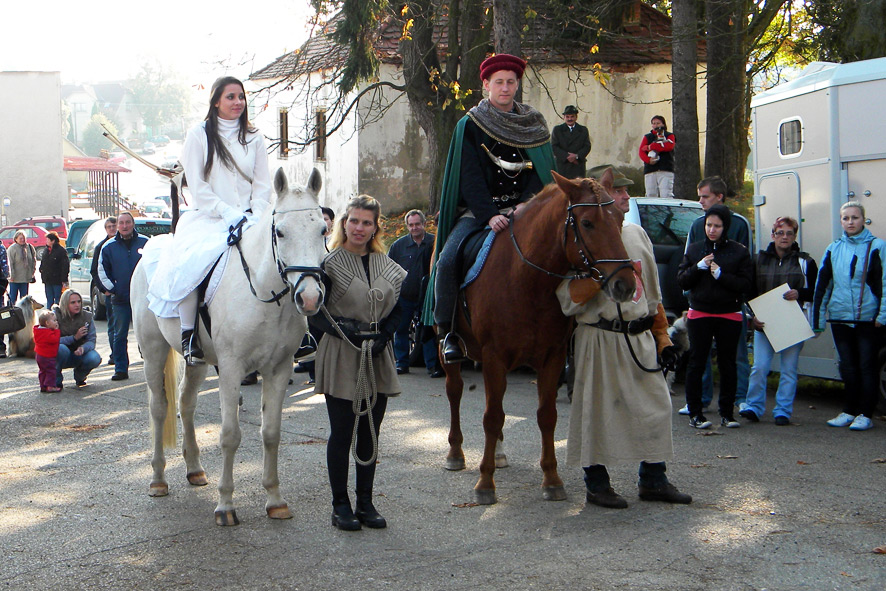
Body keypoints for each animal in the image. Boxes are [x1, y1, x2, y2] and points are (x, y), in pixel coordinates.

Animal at [130, 168, 328, 528]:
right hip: (153, 352)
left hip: (198, 361)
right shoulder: (232, 368)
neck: (264, 293)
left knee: (186, 403)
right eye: (280, 231)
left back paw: (194, 469)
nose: (309, 298)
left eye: (322, 229)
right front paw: (225, 505)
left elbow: (271, 432)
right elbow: (230, 435)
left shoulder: (279, 368)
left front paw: (275, 500)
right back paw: (158, 479)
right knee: (159, 407)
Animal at [444, 169, 640, 506]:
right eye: (587, 223)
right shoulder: (495, 356)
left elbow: (546, 415)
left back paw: (498, 453)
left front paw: (552, 478)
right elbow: (491, 417)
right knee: (455, 390)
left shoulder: (552, 356)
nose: (625, 284)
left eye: (619, 218)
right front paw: (485, 483)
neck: (527, 278)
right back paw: (456, 451)